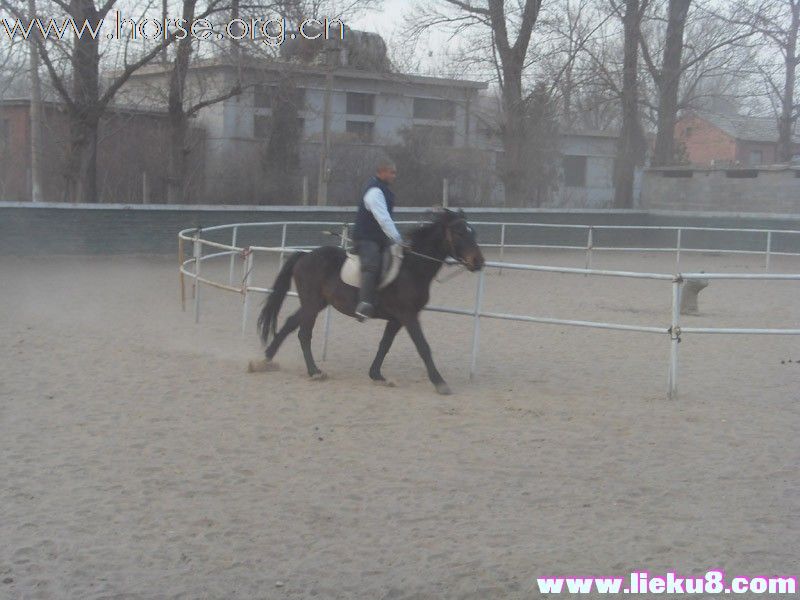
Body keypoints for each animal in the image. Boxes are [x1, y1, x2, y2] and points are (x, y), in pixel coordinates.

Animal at [250, 209, 484, 396]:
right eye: (460, 232)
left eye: (473, 232)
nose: (479, 262)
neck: (413, 267)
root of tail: (304, 255)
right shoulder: (408, 315)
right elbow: (423, 346)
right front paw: (440, 382)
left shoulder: (397, 319)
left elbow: (385, 344)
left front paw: (377, 375)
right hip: (312, 303)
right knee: (304, 333)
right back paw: (314, 372)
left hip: (316, 303)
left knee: (290, 323)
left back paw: (266, 360)